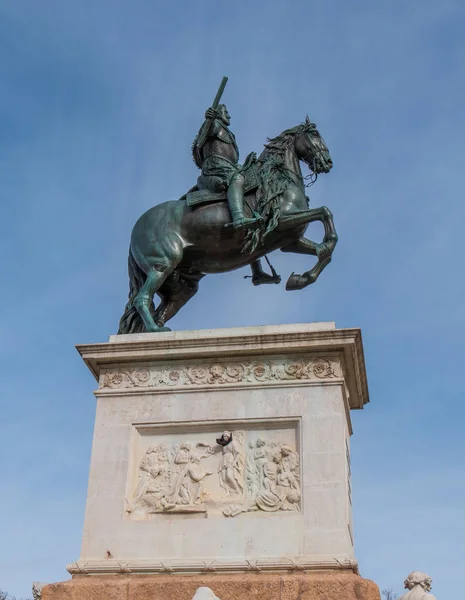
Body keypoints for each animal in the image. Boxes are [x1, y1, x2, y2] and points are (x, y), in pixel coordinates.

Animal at [118, 117, 338, 332]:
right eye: (315, 134)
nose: (328, 163)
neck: (277, 180)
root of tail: (135, 231)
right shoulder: (281, 223)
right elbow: (324, 212)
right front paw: (319, 253)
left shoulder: (290, 239)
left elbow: (322, 251)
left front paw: (300, 279)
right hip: (163, 264)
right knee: (141, 299)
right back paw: (155, 330)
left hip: (182, 284)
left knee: (160, 309)